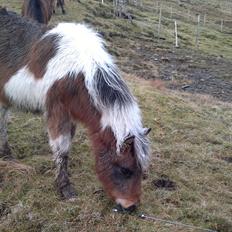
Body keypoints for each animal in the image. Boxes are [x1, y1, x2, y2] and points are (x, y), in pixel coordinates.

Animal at [0, 9, 150, 211]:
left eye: (142, 171)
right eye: (125, 170)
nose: (131, 206)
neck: (79, 75)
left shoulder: (72, 115)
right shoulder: (58, 112)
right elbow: (62, 148)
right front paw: (65, 189)